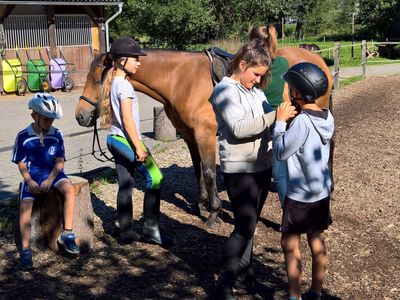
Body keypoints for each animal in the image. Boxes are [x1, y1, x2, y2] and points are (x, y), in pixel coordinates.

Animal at [75, 45, 332, 225]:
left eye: (97, 79)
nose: (80, 116)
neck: (181, 80)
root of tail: (316, 58)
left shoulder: (205, 135)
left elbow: (208, 172)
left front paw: (214, 213)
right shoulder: (190, 136)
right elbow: (197, 170)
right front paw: (200, 205)